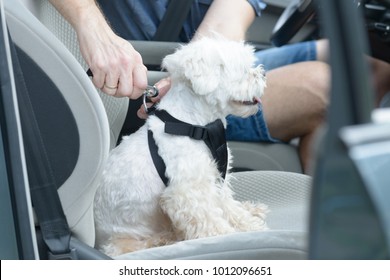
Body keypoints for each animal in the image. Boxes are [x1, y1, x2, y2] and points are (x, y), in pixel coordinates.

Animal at [93, 36, 268, 258]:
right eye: (244, 70)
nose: (263, 73)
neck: (196, 125)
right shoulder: (187, 193)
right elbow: (210, 220)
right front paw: (228, 236)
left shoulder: (214, 179)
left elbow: (228, 207)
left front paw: (248, 223)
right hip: (122, 243)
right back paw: (166, 238)